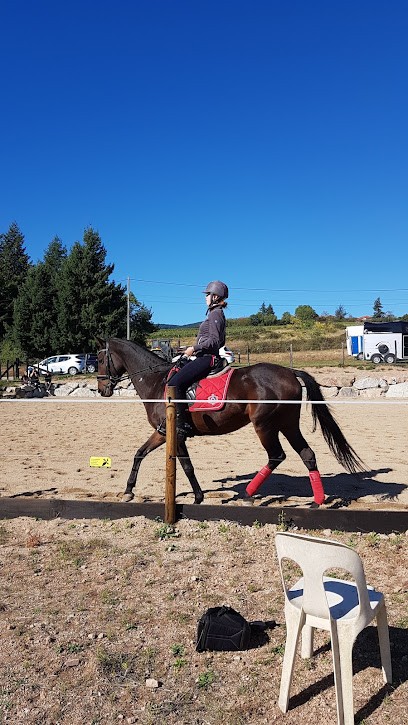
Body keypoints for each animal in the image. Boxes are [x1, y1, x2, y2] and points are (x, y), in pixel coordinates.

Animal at [96, 337, 365, 506]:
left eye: (98, 359)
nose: (101, 389)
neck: (156, 382)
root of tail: (289, 372)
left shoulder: (174, 433)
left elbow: (186, 466)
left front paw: (198, 497)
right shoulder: (163, 433)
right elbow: (140, 454)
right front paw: (128, 491)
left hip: (264, 425)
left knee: (276, 456)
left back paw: (247, 494)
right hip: (287, 424)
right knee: (307, 454)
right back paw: (317, 502)